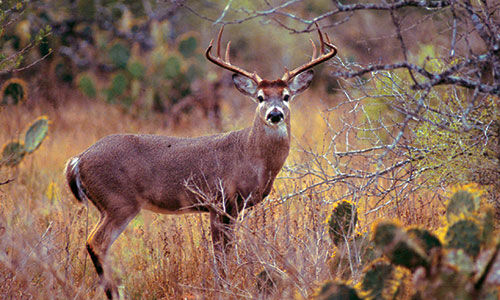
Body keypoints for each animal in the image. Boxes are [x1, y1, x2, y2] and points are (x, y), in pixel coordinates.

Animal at [63, 25, 336, 298]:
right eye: (260, 97)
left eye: (286, 96)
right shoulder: (218, 201)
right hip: (119, 201)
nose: (275, 114)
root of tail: (78, 159)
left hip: (109, 205)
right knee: (96, 242)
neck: (251, 156)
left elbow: (227, 252)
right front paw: (223, 288)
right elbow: (220, 255)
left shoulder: (234, 209)